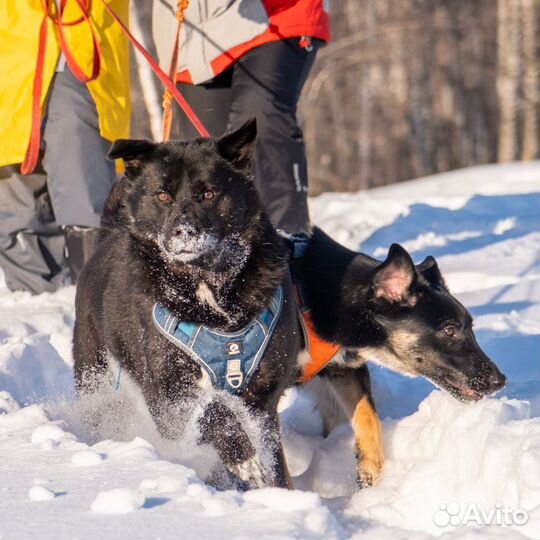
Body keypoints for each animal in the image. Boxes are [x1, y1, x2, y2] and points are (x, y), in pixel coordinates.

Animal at [292, 226, 506, 488]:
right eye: (449, 330)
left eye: (471, 328)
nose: (500, 380)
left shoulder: (344, 370)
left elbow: (369, 418)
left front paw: (371, 472)